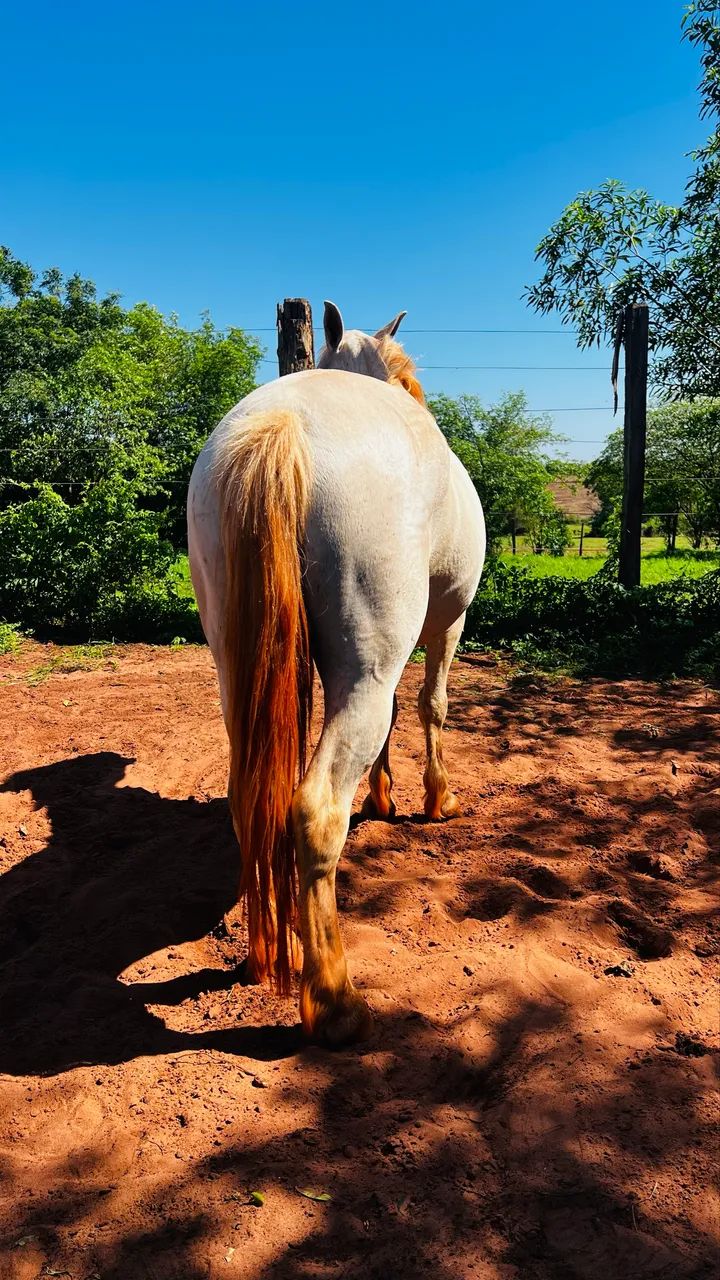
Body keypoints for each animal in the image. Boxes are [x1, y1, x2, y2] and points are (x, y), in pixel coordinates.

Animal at [187, 301, 486, 1046]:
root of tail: (283, 425)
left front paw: (383, 797)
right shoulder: (448, 626)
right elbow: (432, 707)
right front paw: (437, 800)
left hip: (238, 669)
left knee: (250, 798)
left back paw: (268, 954)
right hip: (366, 673)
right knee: (315, 809)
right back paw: (334, 1001)